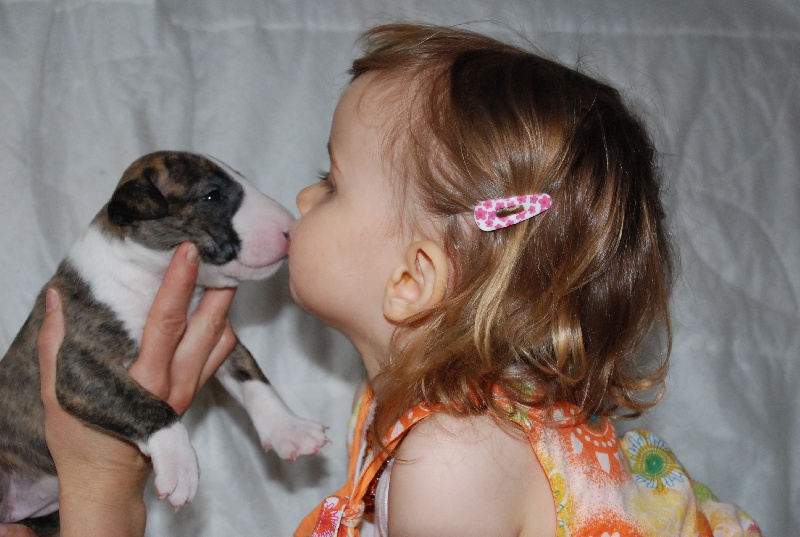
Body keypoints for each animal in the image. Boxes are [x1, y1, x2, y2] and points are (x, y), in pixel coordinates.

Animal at [0, 151, 329, 534]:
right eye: (211, 196)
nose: (290, 229)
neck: (150, 276)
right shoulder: (78, 366)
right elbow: (151, 407)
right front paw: (180, 466)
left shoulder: (221, 339)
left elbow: (254, 381)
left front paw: (290, 428)